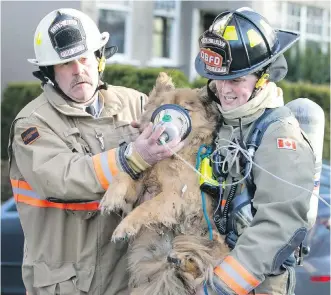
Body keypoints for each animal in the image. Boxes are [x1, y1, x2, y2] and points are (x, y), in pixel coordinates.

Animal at [101, 72, 231, 295]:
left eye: (187, 110)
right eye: (162, 107)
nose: (165, 124)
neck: (172, 155)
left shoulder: (177, 195)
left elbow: (146, 208)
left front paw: (123, 228)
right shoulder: (142, 182)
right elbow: (123, 176)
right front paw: (110, 198)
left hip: (207, 239)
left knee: (203, 263)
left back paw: (185, 260)